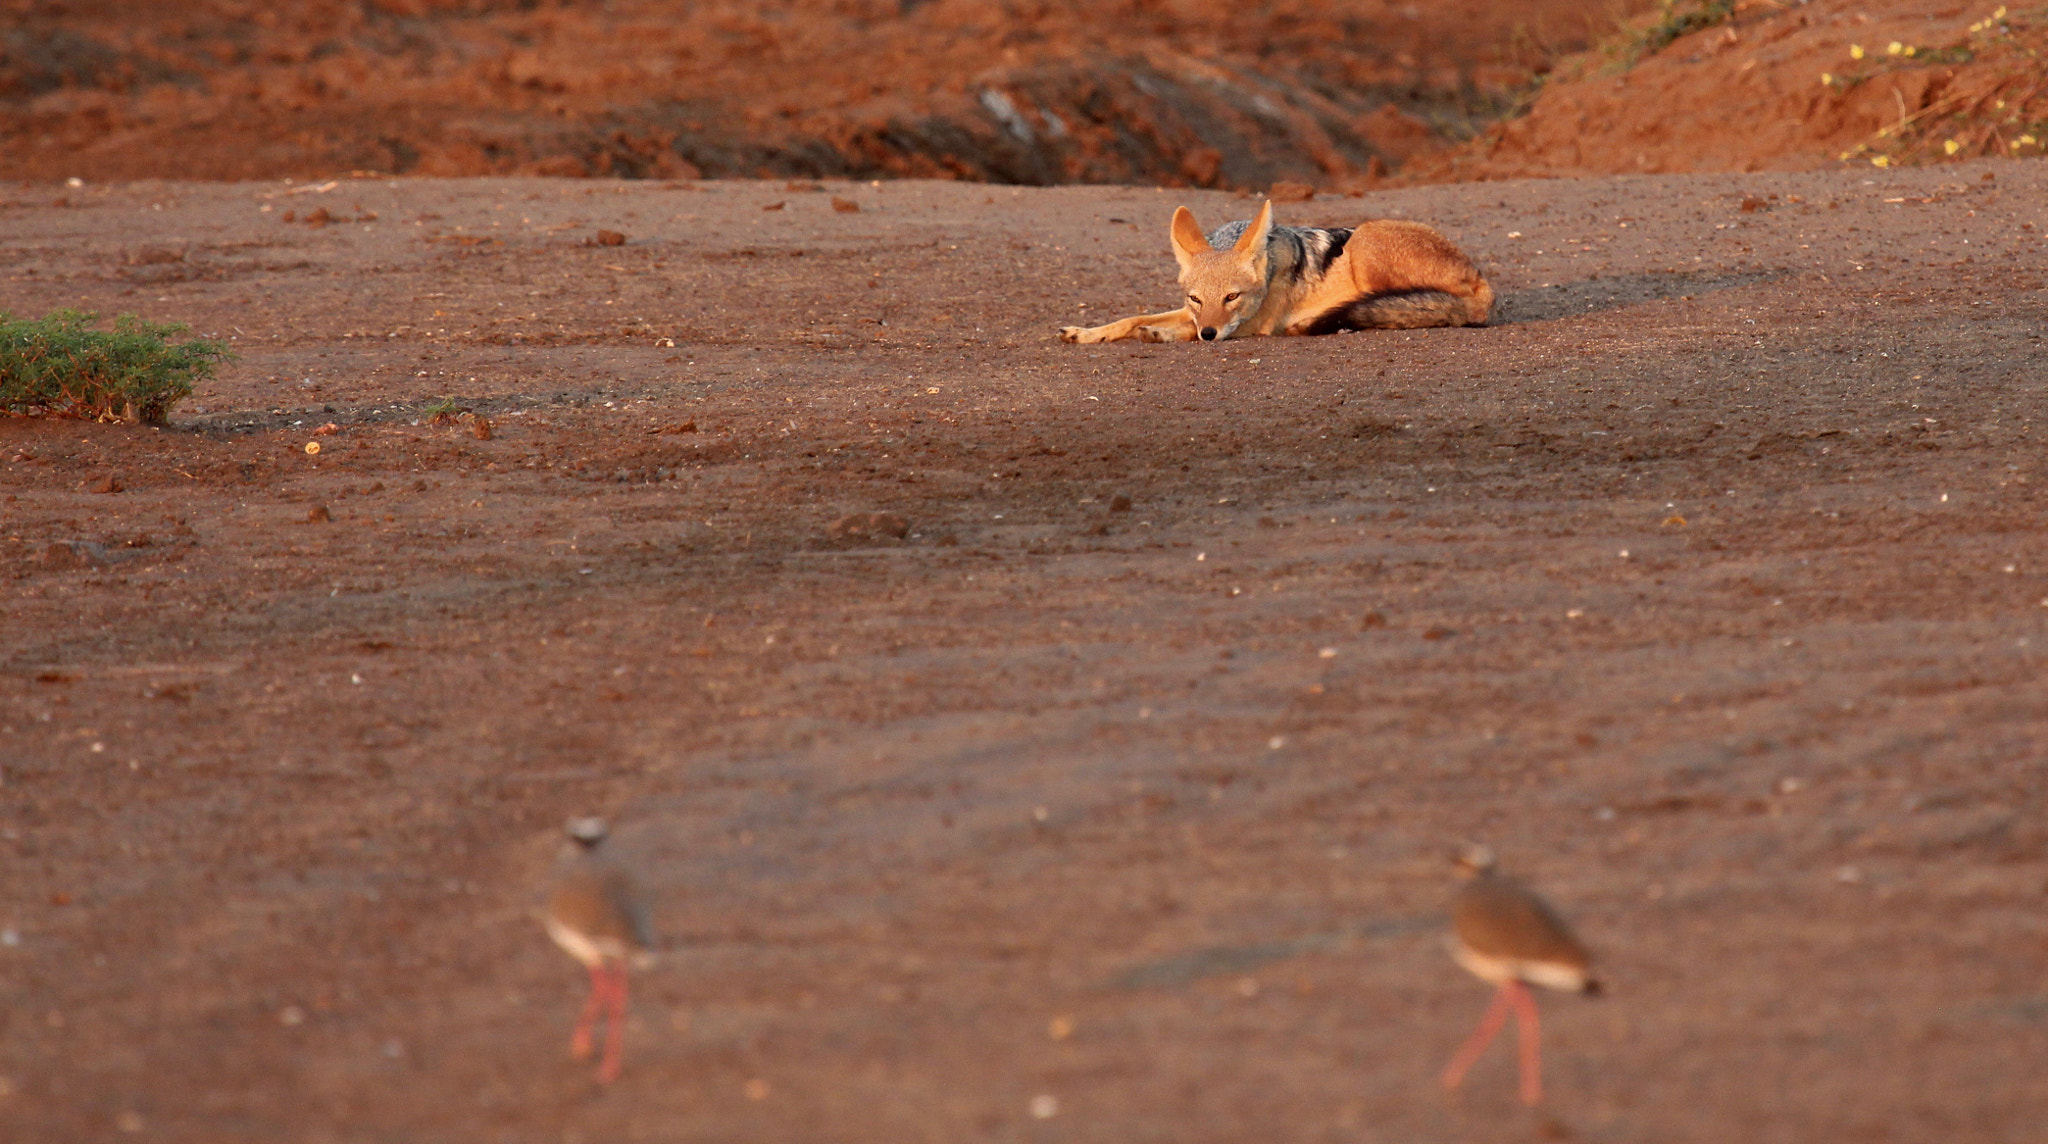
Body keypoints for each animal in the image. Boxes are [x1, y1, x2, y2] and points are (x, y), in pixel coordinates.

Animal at [1057, 199, 1492, 344]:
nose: (1209, 332)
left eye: (1232, 297)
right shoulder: (1189, 312)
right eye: (1196, 297)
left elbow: (1175, 330)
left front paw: (1162, 334)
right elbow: (1131, 319)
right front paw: (1086, 332)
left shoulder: (1251, 324)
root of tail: (1483, 284)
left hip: (1363, 244)